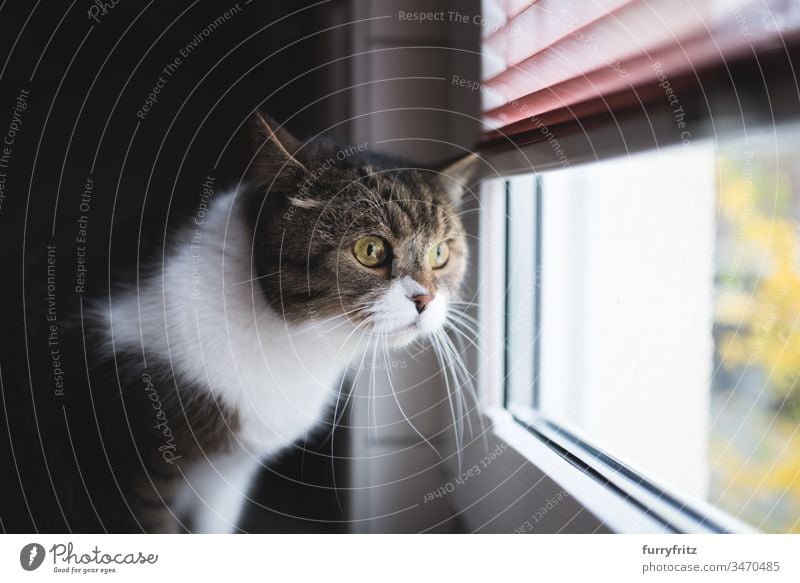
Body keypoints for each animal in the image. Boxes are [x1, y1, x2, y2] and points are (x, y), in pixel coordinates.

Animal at [0, 113, 476, 532]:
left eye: (440, 253)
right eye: (370, 250)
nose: (425, 299)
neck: (292, 340)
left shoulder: (228, 474)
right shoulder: (125, 468)